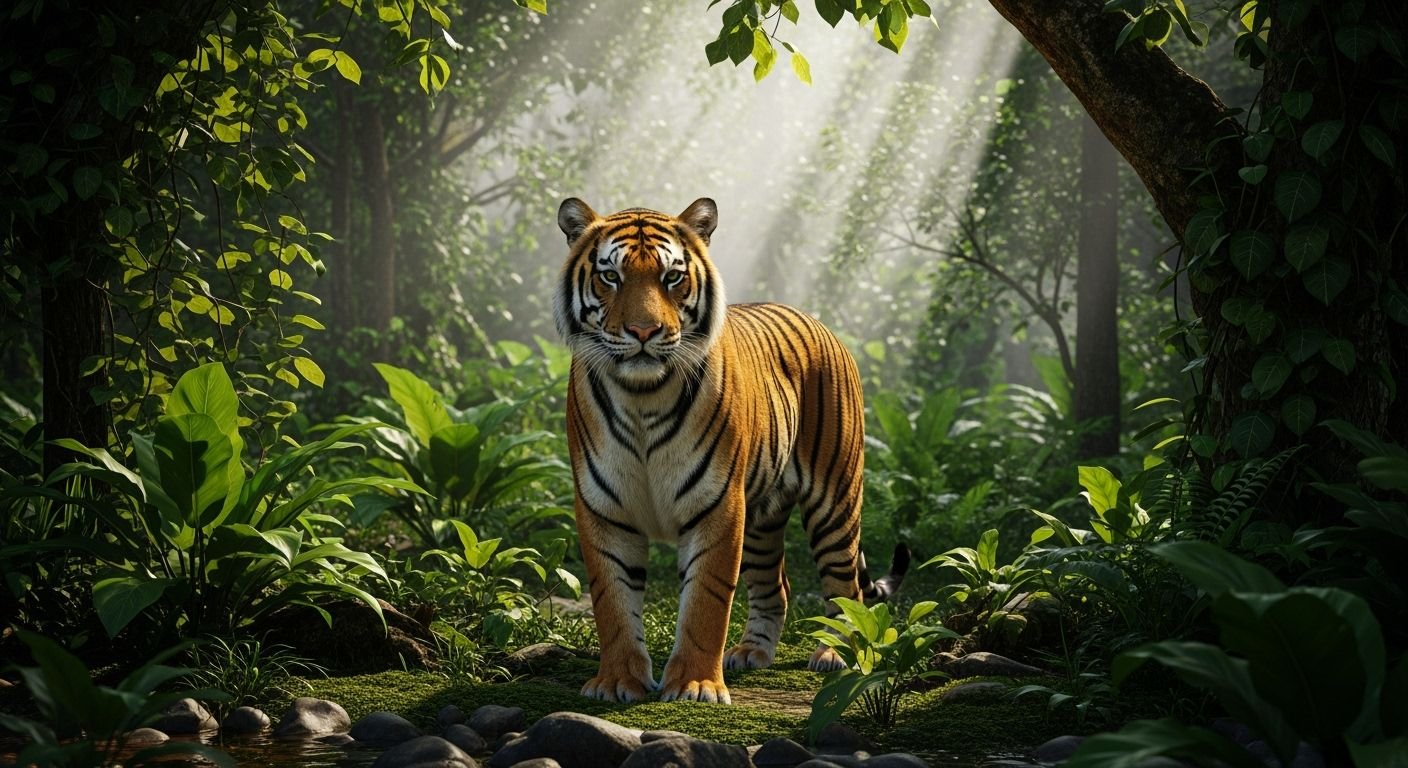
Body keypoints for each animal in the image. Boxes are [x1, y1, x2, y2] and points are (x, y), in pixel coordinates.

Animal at [553, 197, 909, 704]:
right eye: (611, 276)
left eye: (672, 277)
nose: (643, 331)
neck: (642, 397)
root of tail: (818, 321)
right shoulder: (604, 509)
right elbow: (613, 603)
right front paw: (618, 682)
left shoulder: (718, 506)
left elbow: (706, 601)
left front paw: (696, 685)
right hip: (762, 516)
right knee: (776, 586)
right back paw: (751, 652)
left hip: (835, 501)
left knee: (847, 589)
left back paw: (835, 654)